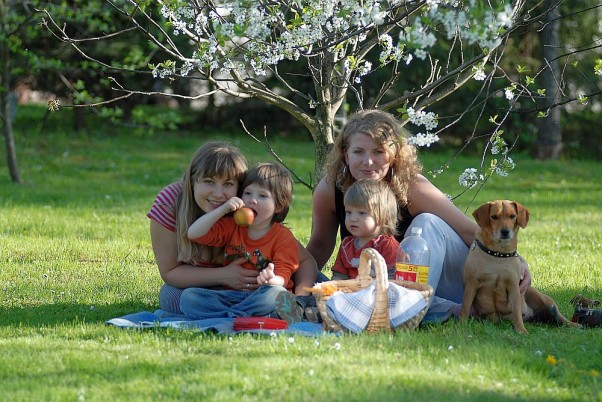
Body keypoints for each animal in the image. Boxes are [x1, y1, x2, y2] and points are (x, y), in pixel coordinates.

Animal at [458, 200, 580, 332]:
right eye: (494, 217)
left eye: (512, 216)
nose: (505, 232)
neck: (498, 254)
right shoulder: (471, 285)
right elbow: (465, 308)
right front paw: (462, 325)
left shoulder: (514, 288)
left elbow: (516, 313)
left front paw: (521, 330)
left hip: (543, 298)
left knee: (561, 316)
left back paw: (574, 324)